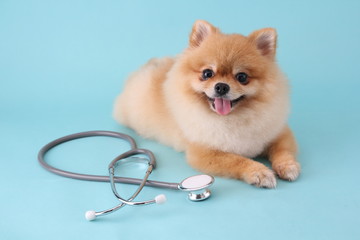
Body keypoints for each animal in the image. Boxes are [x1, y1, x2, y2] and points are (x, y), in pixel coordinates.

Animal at [114, 20, 300, 188]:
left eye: (242, 77)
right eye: (207, 73)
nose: (221, 86)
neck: (234, 118)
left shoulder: (278, 132)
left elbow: (283, 150)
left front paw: (287, 166)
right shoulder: (204, 153)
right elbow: (237, 160)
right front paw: (259, 172)